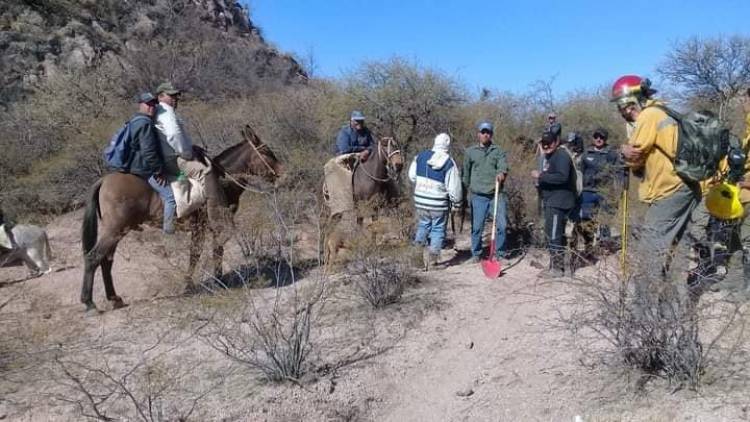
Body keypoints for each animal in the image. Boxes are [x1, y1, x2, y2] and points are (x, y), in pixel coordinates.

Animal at [81, 125, 284, 314]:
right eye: (266, 152)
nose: (283, 174)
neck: (223, 180)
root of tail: (103, 181)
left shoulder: (205, 228)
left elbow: (207, 252)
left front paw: (212, 281)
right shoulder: (208, 226)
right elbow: (204, 253)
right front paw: (205, 284)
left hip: (117, 231)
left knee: (106, 261)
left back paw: (115, 299)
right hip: (114, 230)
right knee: (93, 257)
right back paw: (89, 303)